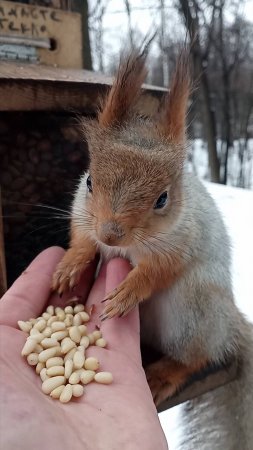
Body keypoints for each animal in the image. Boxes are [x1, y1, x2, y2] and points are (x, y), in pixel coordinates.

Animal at [52, 47, 253, 448]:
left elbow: (160, 269)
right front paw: (72, 263)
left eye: (163, 198)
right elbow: (82, 237)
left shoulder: (183, 240)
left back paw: (164, 372)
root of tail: (228, 326)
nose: (111, 235)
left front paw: (128, 290)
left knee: (198, 357)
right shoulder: (82, 211)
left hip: (192, 311)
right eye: (90, 181)